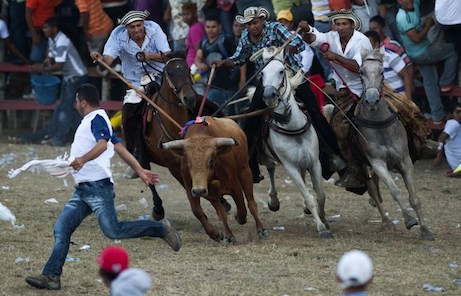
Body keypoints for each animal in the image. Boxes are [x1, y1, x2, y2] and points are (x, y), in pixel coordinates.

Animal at [252, 47, 330, 239]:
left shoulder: (314, 162)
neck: (292, 126)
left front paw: (324, 220)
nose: (269, 96)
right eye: (262, 73)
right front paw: (321, 227)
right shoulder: (290, 166)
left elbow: (320, 194)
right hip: (265, 157)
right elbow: (309, 196)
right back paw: (273, 201)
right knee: (271, 168)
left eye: (281, 71)